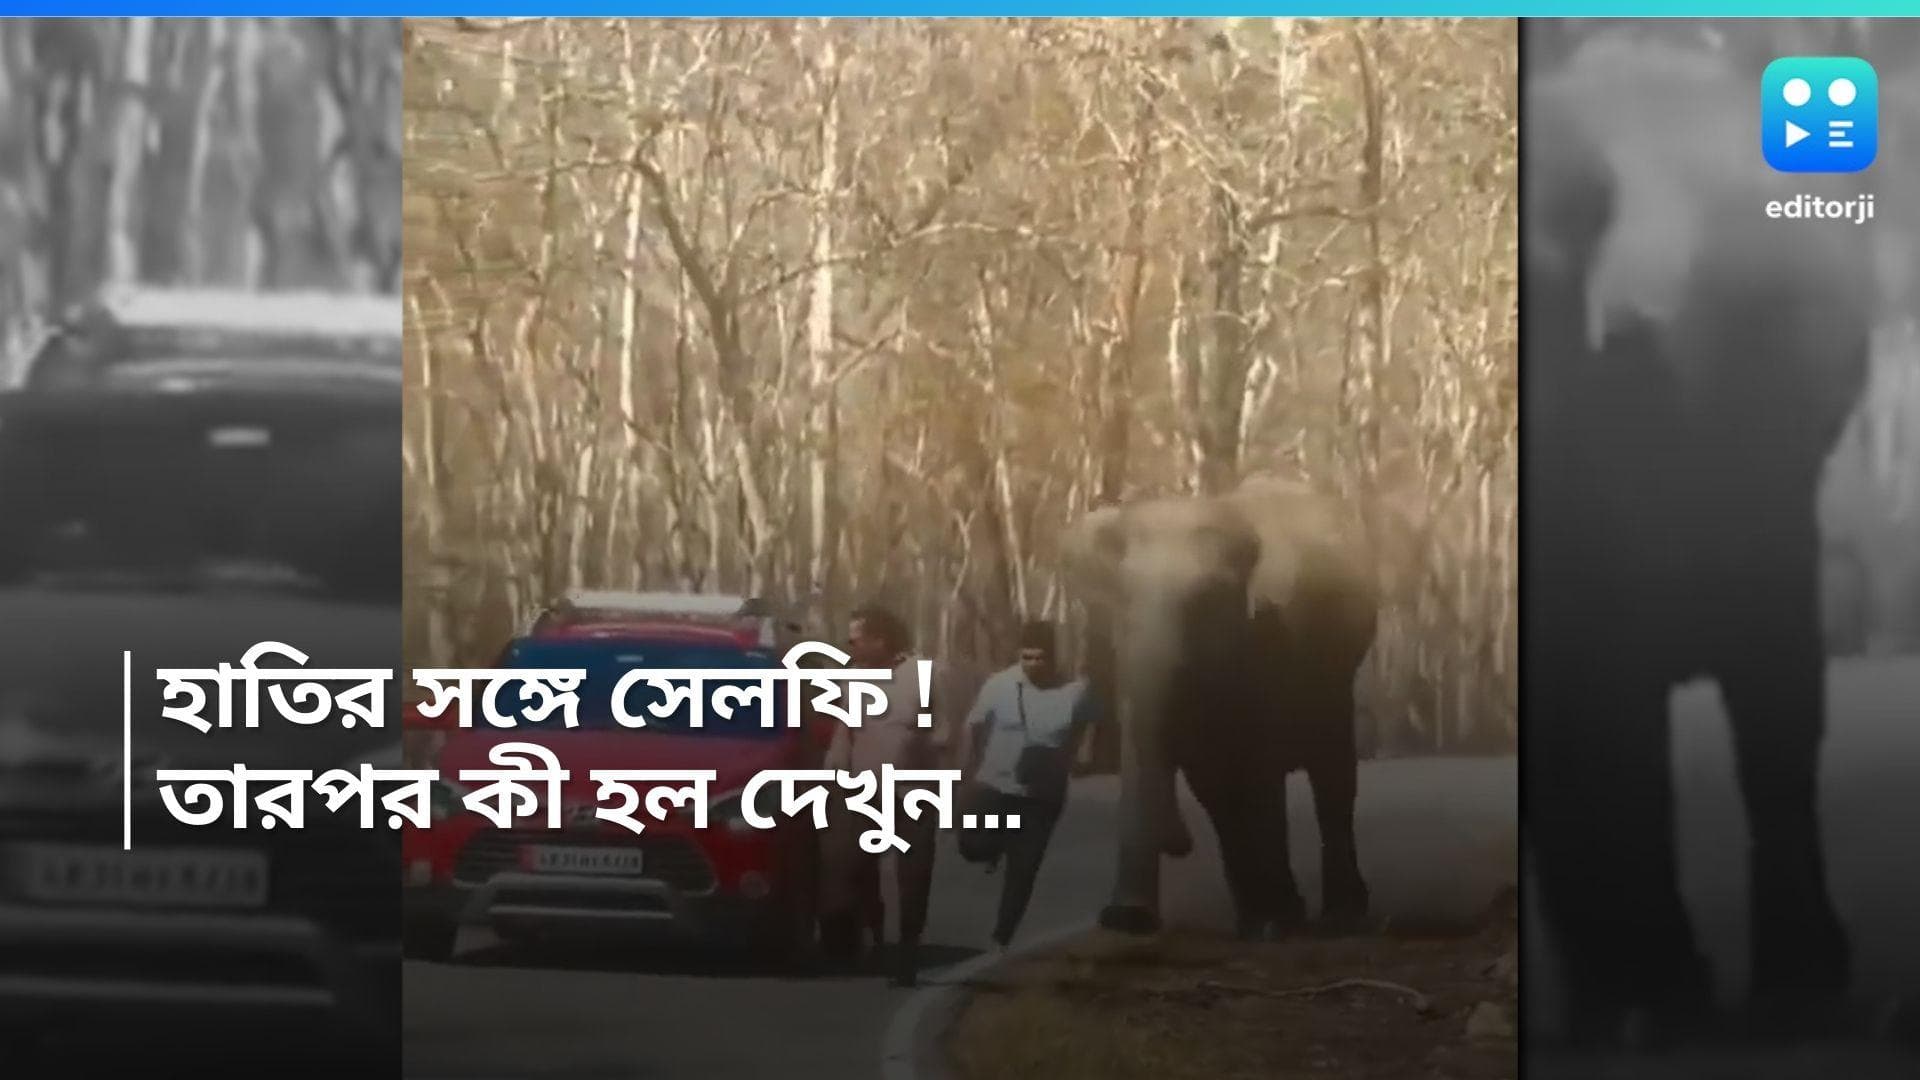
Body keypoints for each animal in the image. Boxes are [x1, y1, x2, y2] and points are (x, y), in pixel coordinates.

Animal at [1063, 475, 1378, 940]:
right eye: (1121, 602)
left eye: (1202, 603)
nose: (1179, 843)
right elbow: (1195, 773)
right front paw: (1127, 921)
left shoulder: (1272, 642)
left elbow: (1259, 768)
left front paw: (1278, 922)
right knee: (1221, 790)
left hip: (1334, 675)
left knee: (1332, 774)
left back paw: (1338, 915)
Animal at [1524, 27, 1906, 1048]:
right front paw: (1620, 1009)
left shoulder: (1637, 414)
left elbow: (1615, 709)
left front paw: (1658, 1006)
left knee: (1776, 707)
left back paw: (1791, 995)